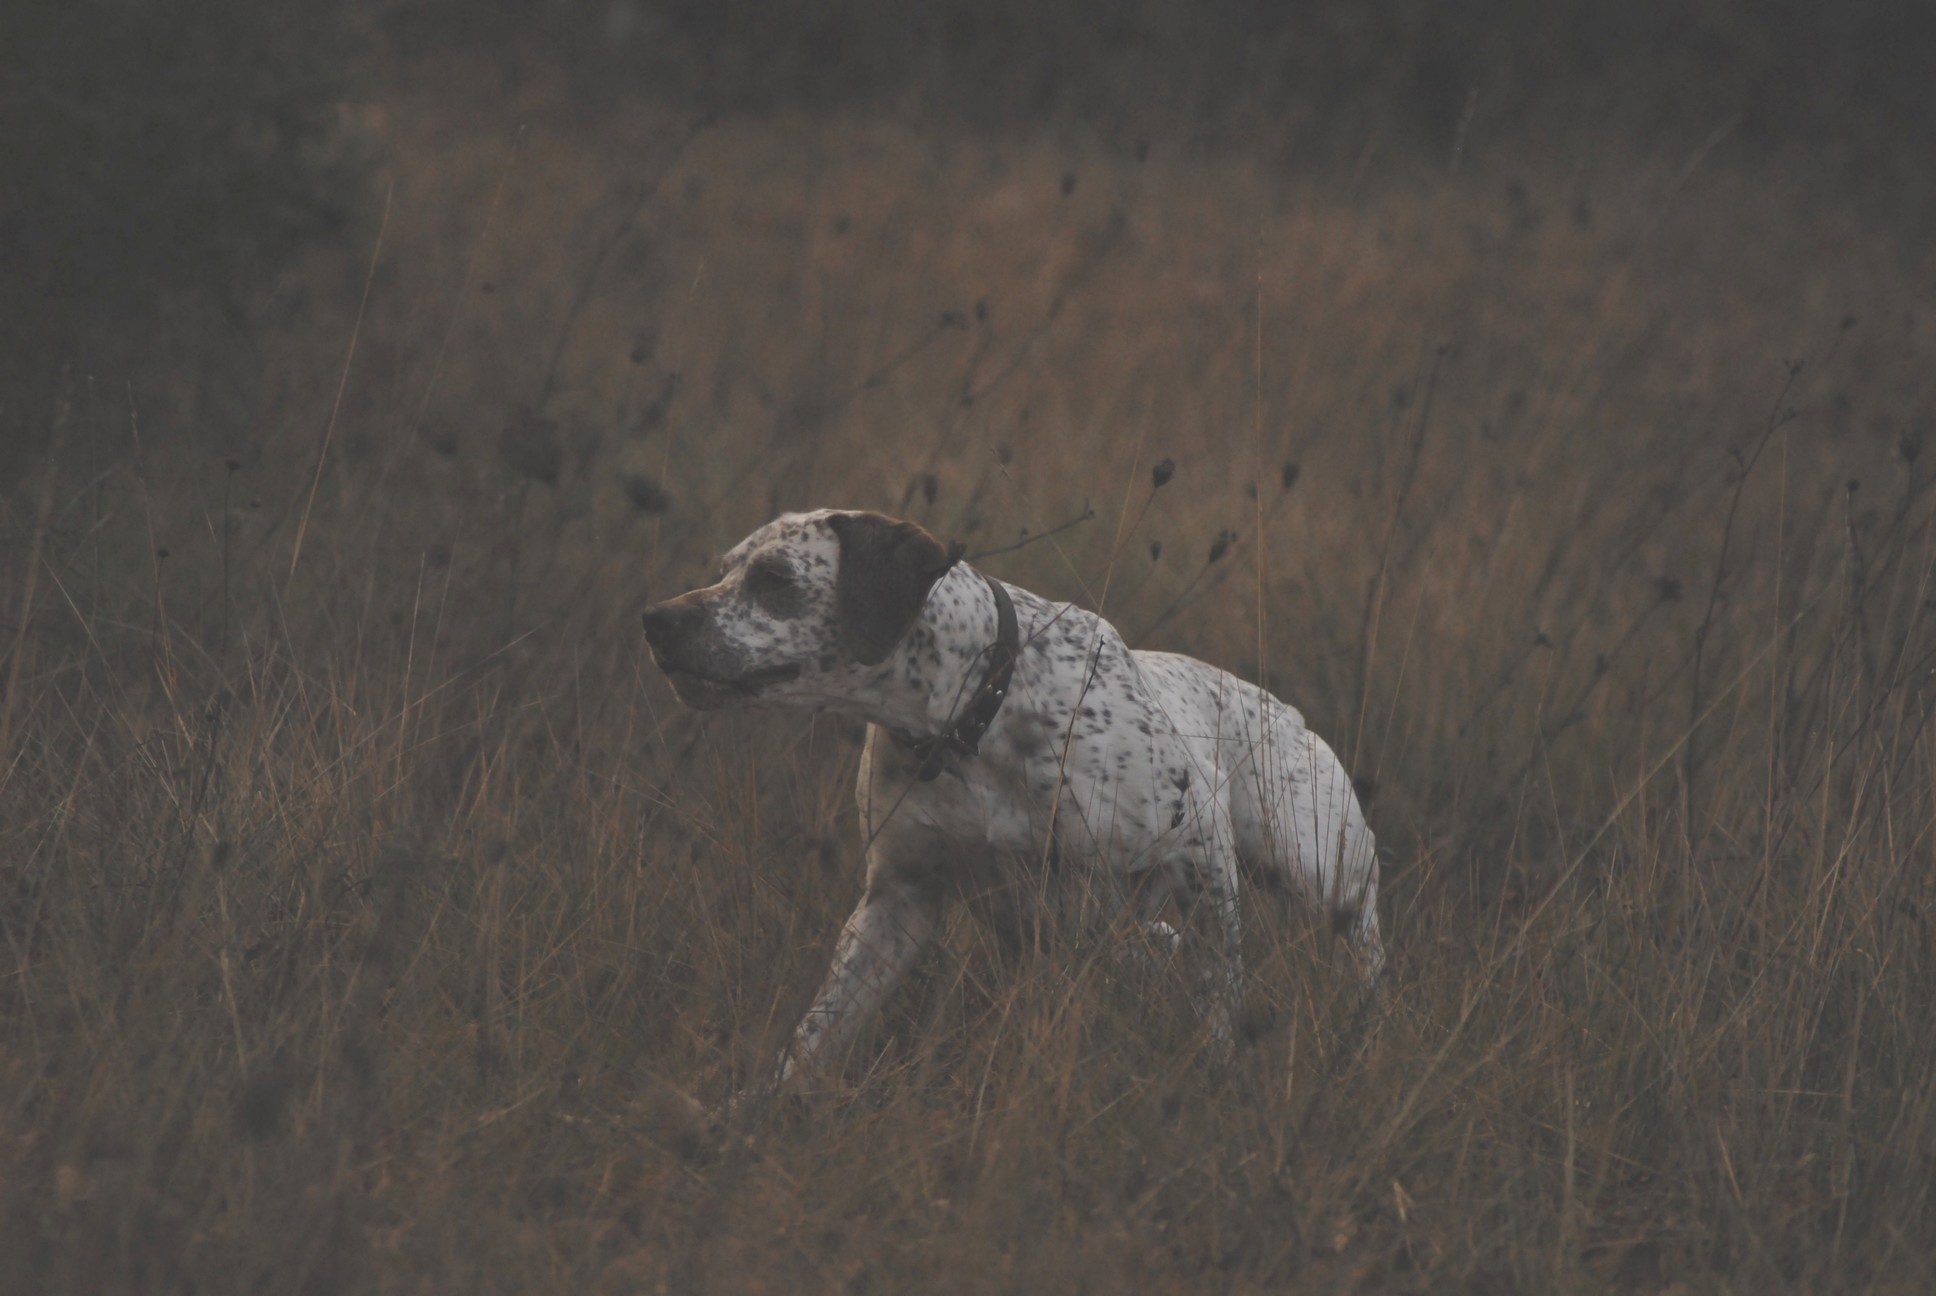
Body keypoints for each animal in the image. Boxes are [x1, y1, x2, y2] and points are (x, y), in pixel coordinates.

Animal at [642, 511, 1386, 1084]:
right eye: (728, 567)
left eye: (774, 579)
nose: (655, 619)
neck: (975, 717)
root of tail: (1288, 713)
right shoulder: (896, 902)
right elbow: (815, 1035)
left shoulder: (1202, 858)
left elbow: (1216, 1003)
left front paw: (1216, 1070)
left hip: (1321, 872)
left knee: (1363, 955)